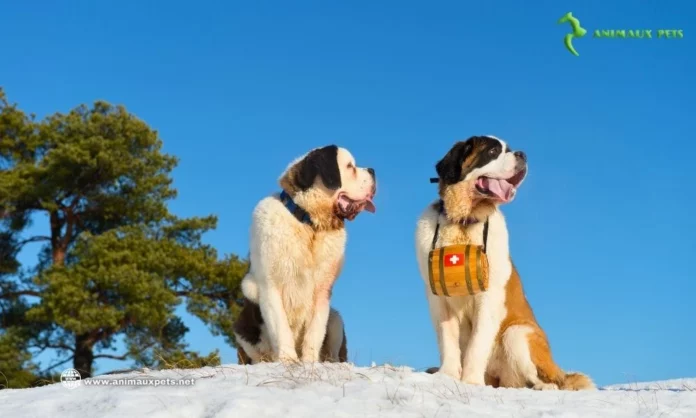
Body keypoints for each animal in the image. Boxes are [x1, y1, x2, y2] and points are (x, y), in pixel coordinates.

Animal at [232, 145, 376, 364]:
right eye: (350, 166)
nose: (373, 171)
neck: (309, 223)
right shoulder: (269, 286)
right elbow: (281, 326)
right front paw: (288, 359)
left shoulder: (322, 291)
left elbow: (315, 330)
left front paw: (309, 362)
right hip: (242, 328)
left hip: (336, 319)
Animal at [416, 136, 596, 390]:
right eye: (493, 152)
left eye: (509, 150)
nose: (522, 154)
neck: (465, 221)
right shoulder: (438, 298)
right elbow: (447, 339)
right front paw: (447, 376)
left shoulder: (489, 296)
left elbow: (477, 343)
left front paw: (470, 381)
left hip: (518, 334)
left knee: (553, 383)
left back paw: (543, 387)